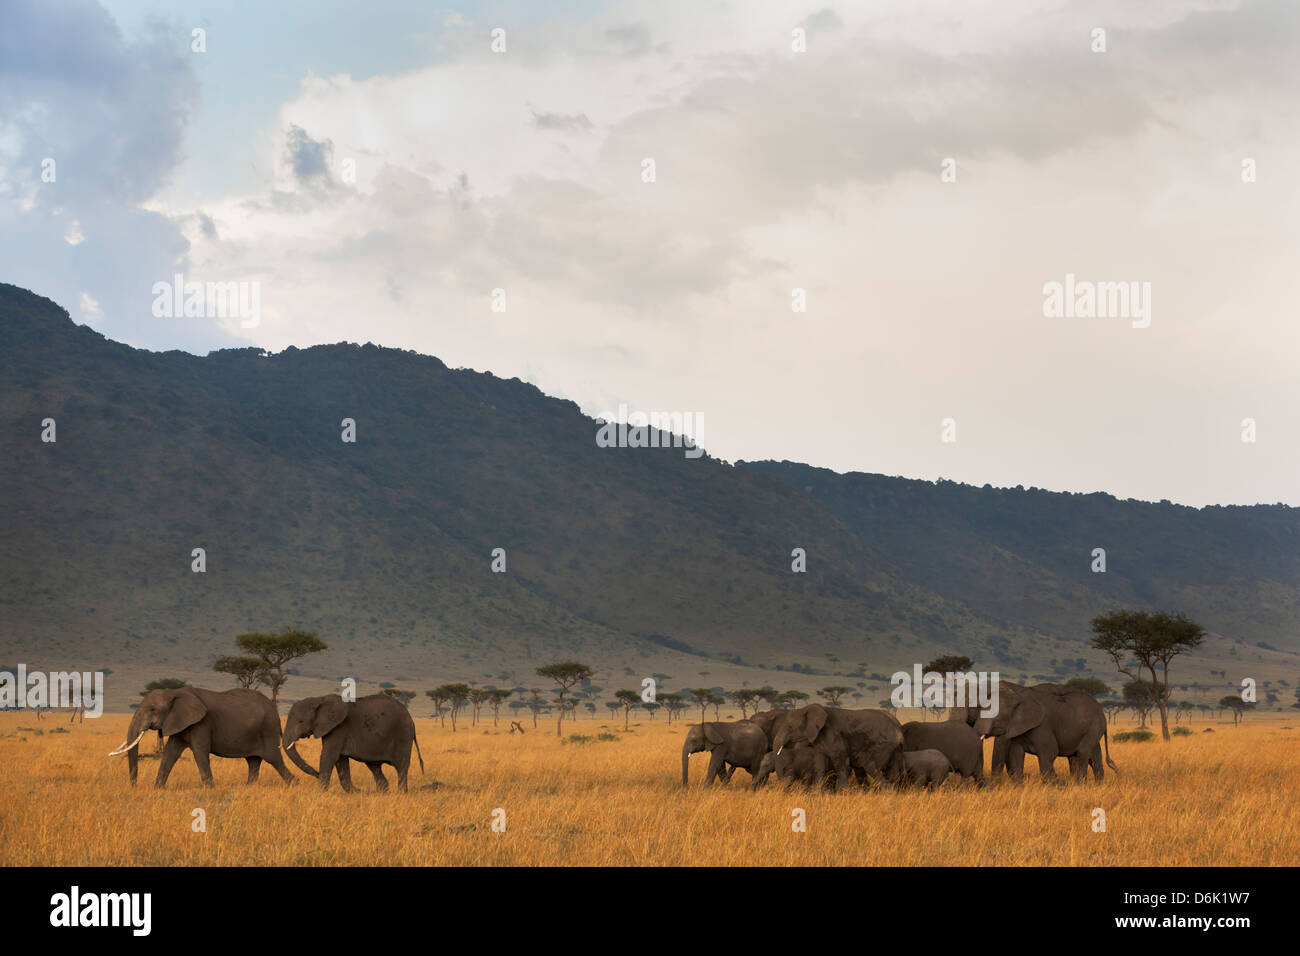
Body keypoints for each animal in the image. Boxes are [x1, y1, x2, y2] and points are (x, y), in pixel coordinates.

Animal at [109, 691, 295, 790]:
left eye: (152, 709)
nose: (134, 786)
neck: (174, 691)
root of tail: (275, 711)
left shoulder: (202, 723)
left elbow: (200, 752)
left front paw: (210, 790)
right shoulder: (180, 722)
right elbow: (170, 753)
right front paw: (158, 789)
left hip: (268, 729)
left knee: (274, 759)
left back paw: (294, 783)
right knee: (253, 762)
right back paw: (249, 787)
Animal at [283, 697, 426, 790]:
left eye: (300, 721)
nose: (316, 773)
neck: (319, 699)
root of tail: (411, 719)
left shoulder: (339, 728)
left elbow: (329, 757)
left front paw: (320, 793)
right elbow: (341, 761)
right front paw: (355, 792)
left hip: (403, 734)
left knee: (401, 766)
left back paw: (401, 793)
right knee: (375, 767)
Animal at [769, 702, 904, 790]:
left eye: (790, 727)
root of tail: (898, 729)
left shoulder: (832, 734)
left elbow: (841, 762)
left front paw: (846, 792)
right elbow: (820, 764)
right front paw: (816, 792)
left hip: (882, 745)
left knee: (873, 767)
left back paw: (886, 792)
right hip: (894, 750)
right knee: (892, 773)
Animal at [951, 686, 1123, 780]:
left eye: (996, 716)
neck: (1016, 698)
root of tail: (1102, 713)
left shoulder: (1042, 726)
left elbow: (1049, 754)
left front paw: (1057, 785)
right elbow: (1016, 754)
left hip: (1093, 728)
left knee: (1082, 753)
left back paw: (1080, 784)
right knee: (1093, 757)